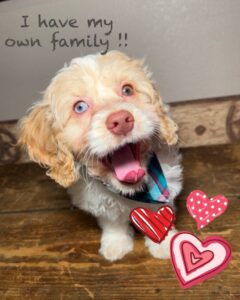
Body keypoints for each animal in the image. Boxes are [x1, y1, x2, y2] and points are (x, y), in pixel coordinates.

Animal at [18, 51, 182, 260]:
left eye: (127, 90)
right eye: (80, 107)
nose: (121, 120)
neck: (133, 191)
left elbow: (159, 209)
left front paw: (166, 242)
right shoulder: (98, 202)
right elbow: (112, 222)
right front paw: (115, 243)